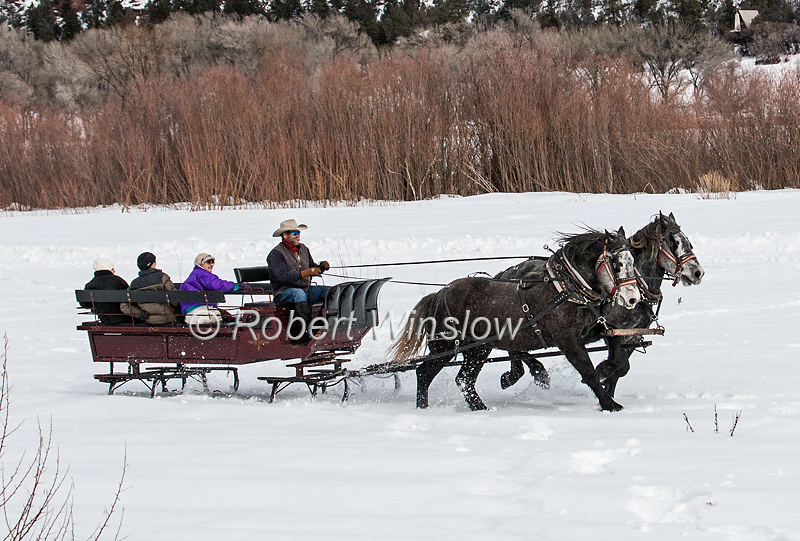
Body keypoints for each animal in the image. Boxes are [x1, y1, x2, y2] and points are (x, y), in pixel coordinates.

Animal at [389, 228, 641, 412]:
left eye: (633, 261)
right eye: (617, 264)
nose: (633, 298)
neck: (565, 289)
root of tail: (439, 294)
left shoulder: (593, 330)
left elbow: (617, 353)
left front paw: (607, 369)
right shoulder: (568, 340)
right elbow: (587, 371)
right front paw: (609, 404)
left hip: (477, 349)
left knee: (460, 379)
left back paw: (473, 408)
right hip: (446, 347)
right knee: (428, 374)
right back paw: (427, 409)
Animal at [495, 212, 705, 397]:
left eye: (688, 242)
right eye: (674, 242)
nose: (698, 272)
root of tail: (508, 272)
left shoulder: (630, 335)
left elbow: (622, 367)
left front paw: (607, 388)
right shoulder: (612, 331)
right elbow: (619, 365)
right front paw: (603, 373)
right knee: (514, 349)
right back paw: (527, 375)